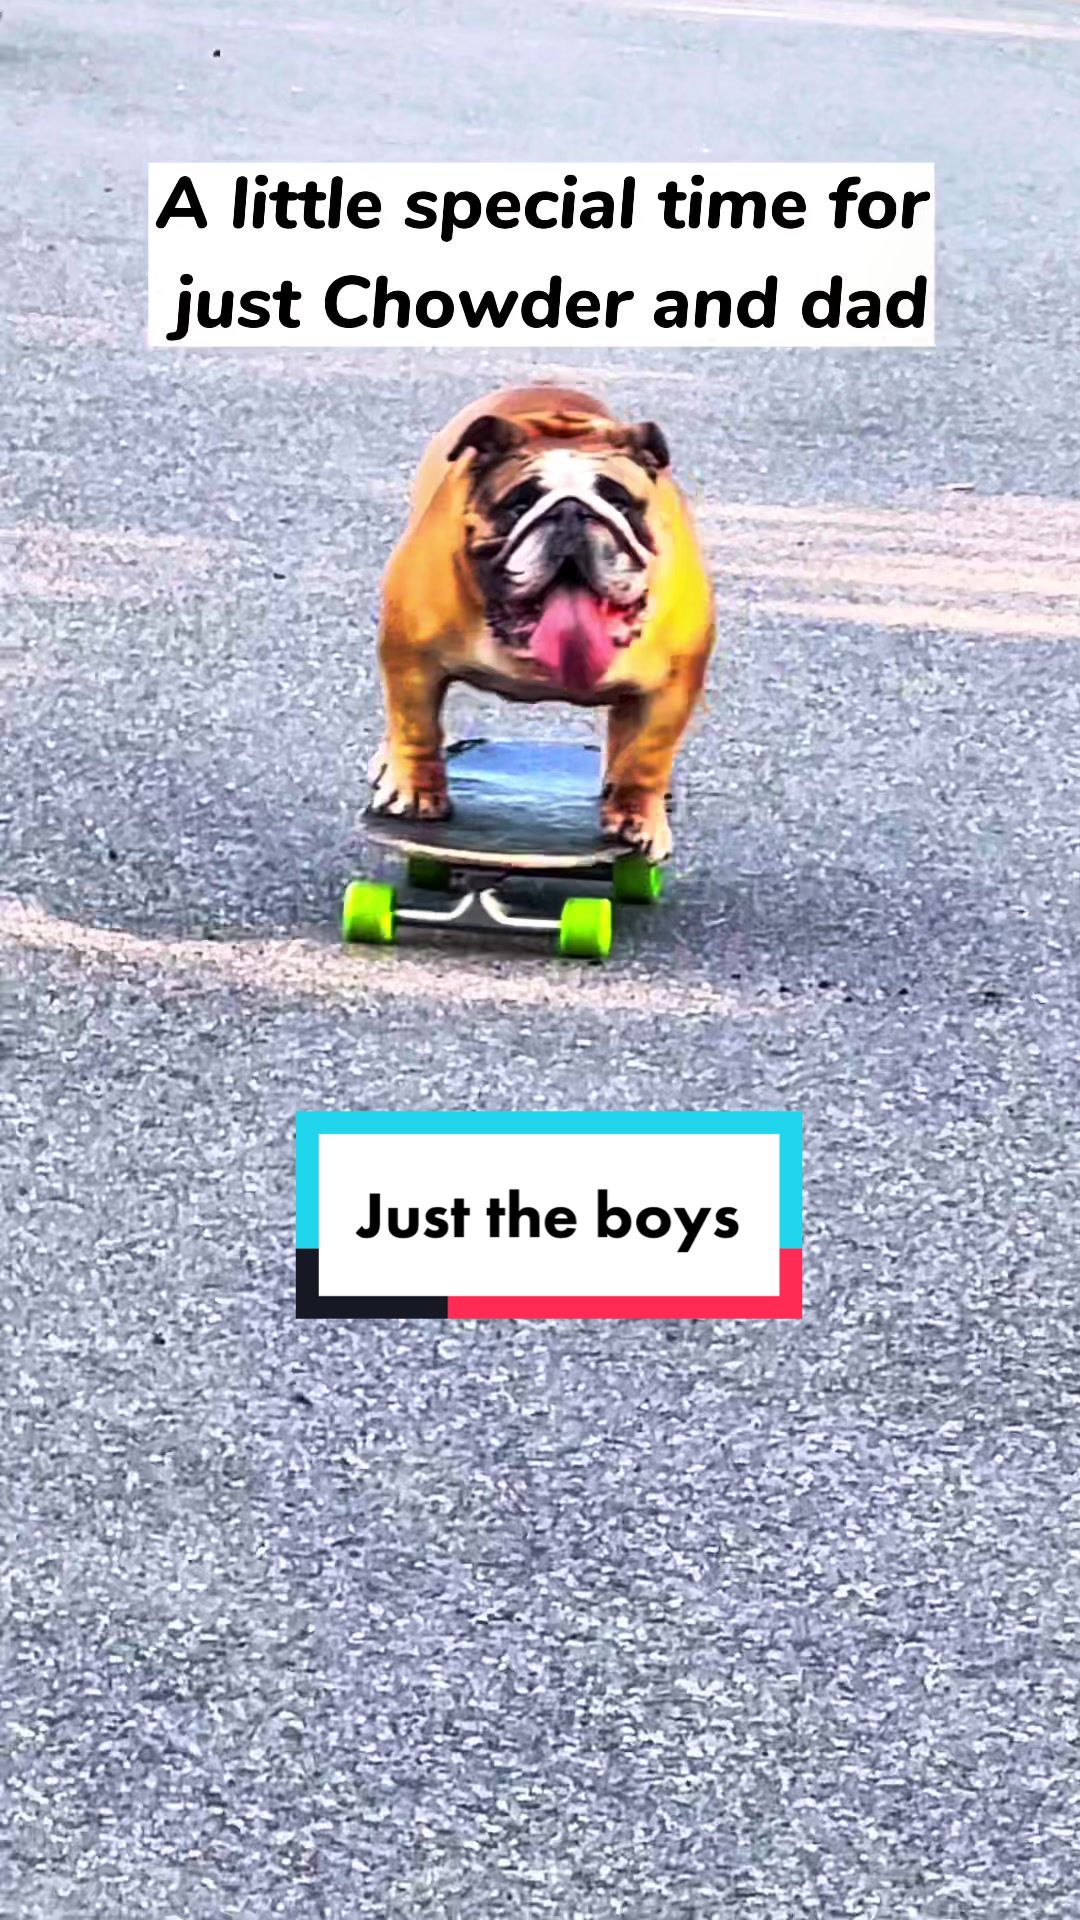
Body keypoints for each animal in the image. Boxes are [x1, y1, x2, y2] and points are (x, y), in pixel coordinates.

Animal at [369, 383, 714, 861]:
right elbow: (415, 724)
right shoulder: (410, 654)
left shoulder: (673, 683)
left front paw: (636, 816)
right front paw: (418, 791)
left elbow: (647, 753)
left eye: (619, 502)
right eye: (519, 505)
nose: (571, 512)